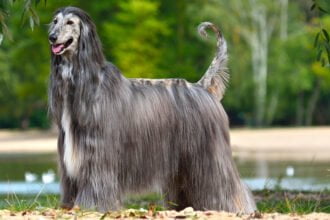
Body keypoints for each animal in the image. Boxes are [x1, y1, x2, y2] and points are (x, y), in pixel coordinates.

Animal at [48, 6, 255, 213]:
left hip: (210, 154)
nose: (52, 37)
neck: (85, 82)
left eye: (70, 22)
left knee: (227, 183)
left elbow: (95, 184)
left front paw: (90, 207)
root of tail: (201, 86)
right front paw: (68, 206)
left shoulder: (97, 153)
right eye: (55, 21)